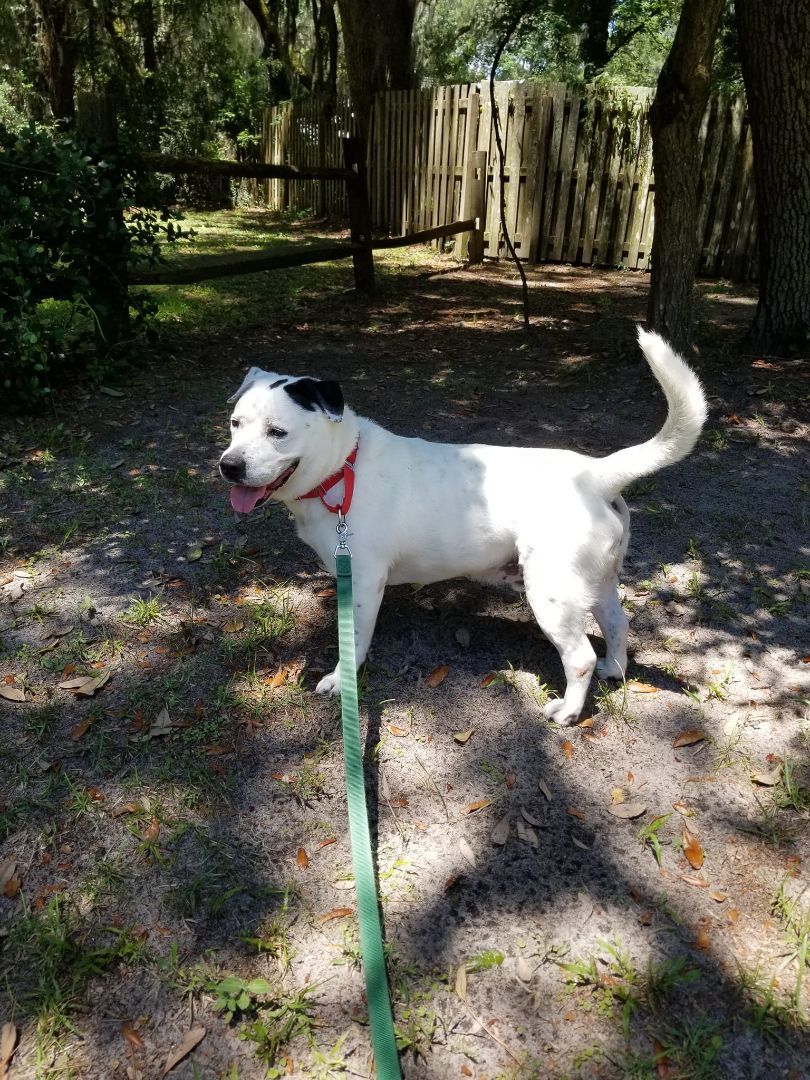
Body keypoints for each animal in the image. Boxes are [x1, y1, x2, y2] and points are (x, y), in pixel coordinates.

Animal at [219, 330, 708, 725]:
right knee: (617, 623)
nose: (229, 466)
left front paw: (342, 681)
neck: (342, 469)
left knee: (580, 657)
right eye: (235, 424)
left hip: (552, 594)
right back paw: (615, 670)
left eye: (277, 432)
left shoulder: (363, 582)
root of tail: (597, 475)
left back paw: (569, 711)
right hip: (595, 582)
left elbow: (352, 639)